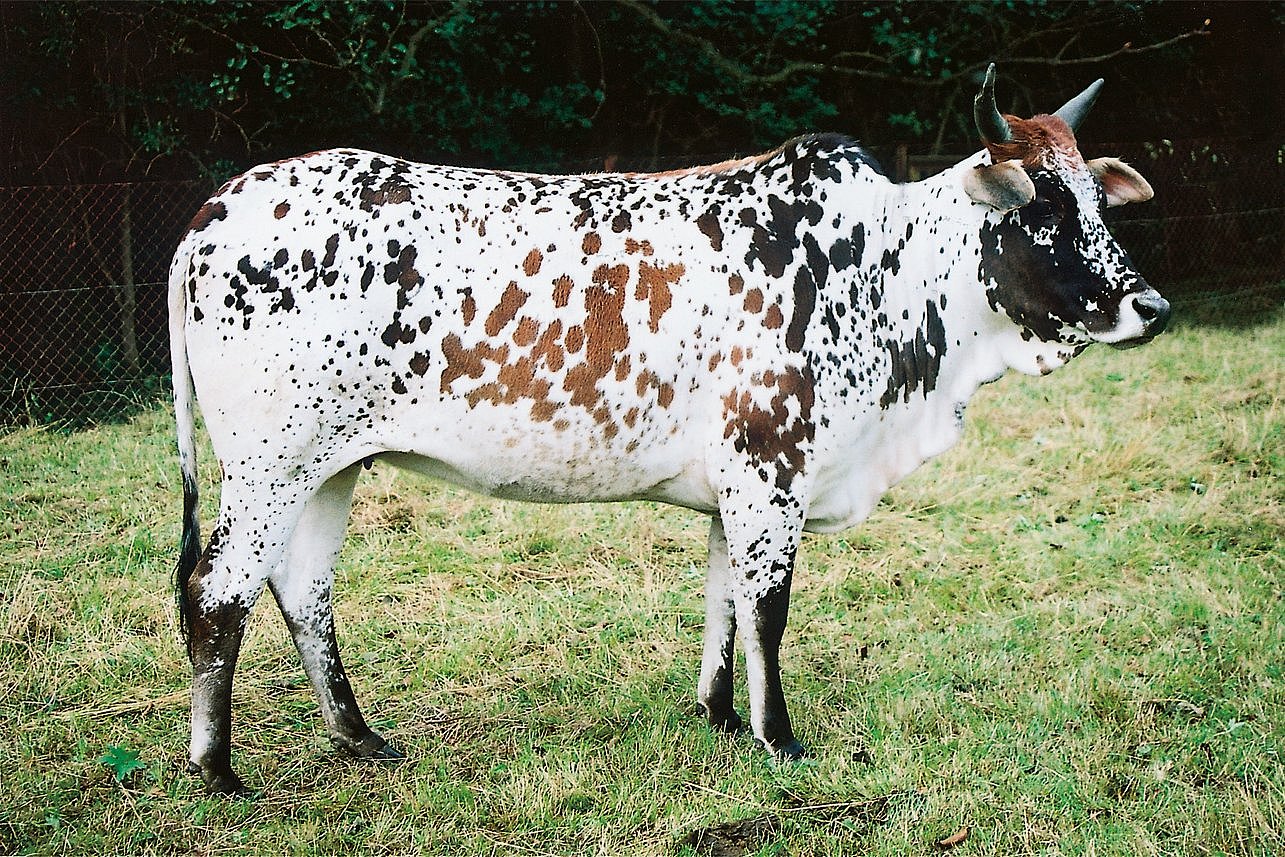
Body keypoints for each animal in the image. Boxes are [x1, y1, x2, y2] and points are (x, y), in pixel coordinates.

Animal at [173, 63, 1177, 796]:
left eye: (1098, 200)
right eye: (1041, 207)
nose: (1151, 306)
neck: (881, 270)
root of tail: (218, 205)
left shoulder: (736, 487)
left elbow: (723, 601)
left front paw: (722, 717)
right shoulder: (771, 472)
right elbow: (767, 610)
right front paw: (780, 739)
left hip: (329, 465)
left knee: (302, 590)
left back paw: (359, 736)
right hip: (266, 466)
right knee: (217, 593)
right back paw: (217, 770)